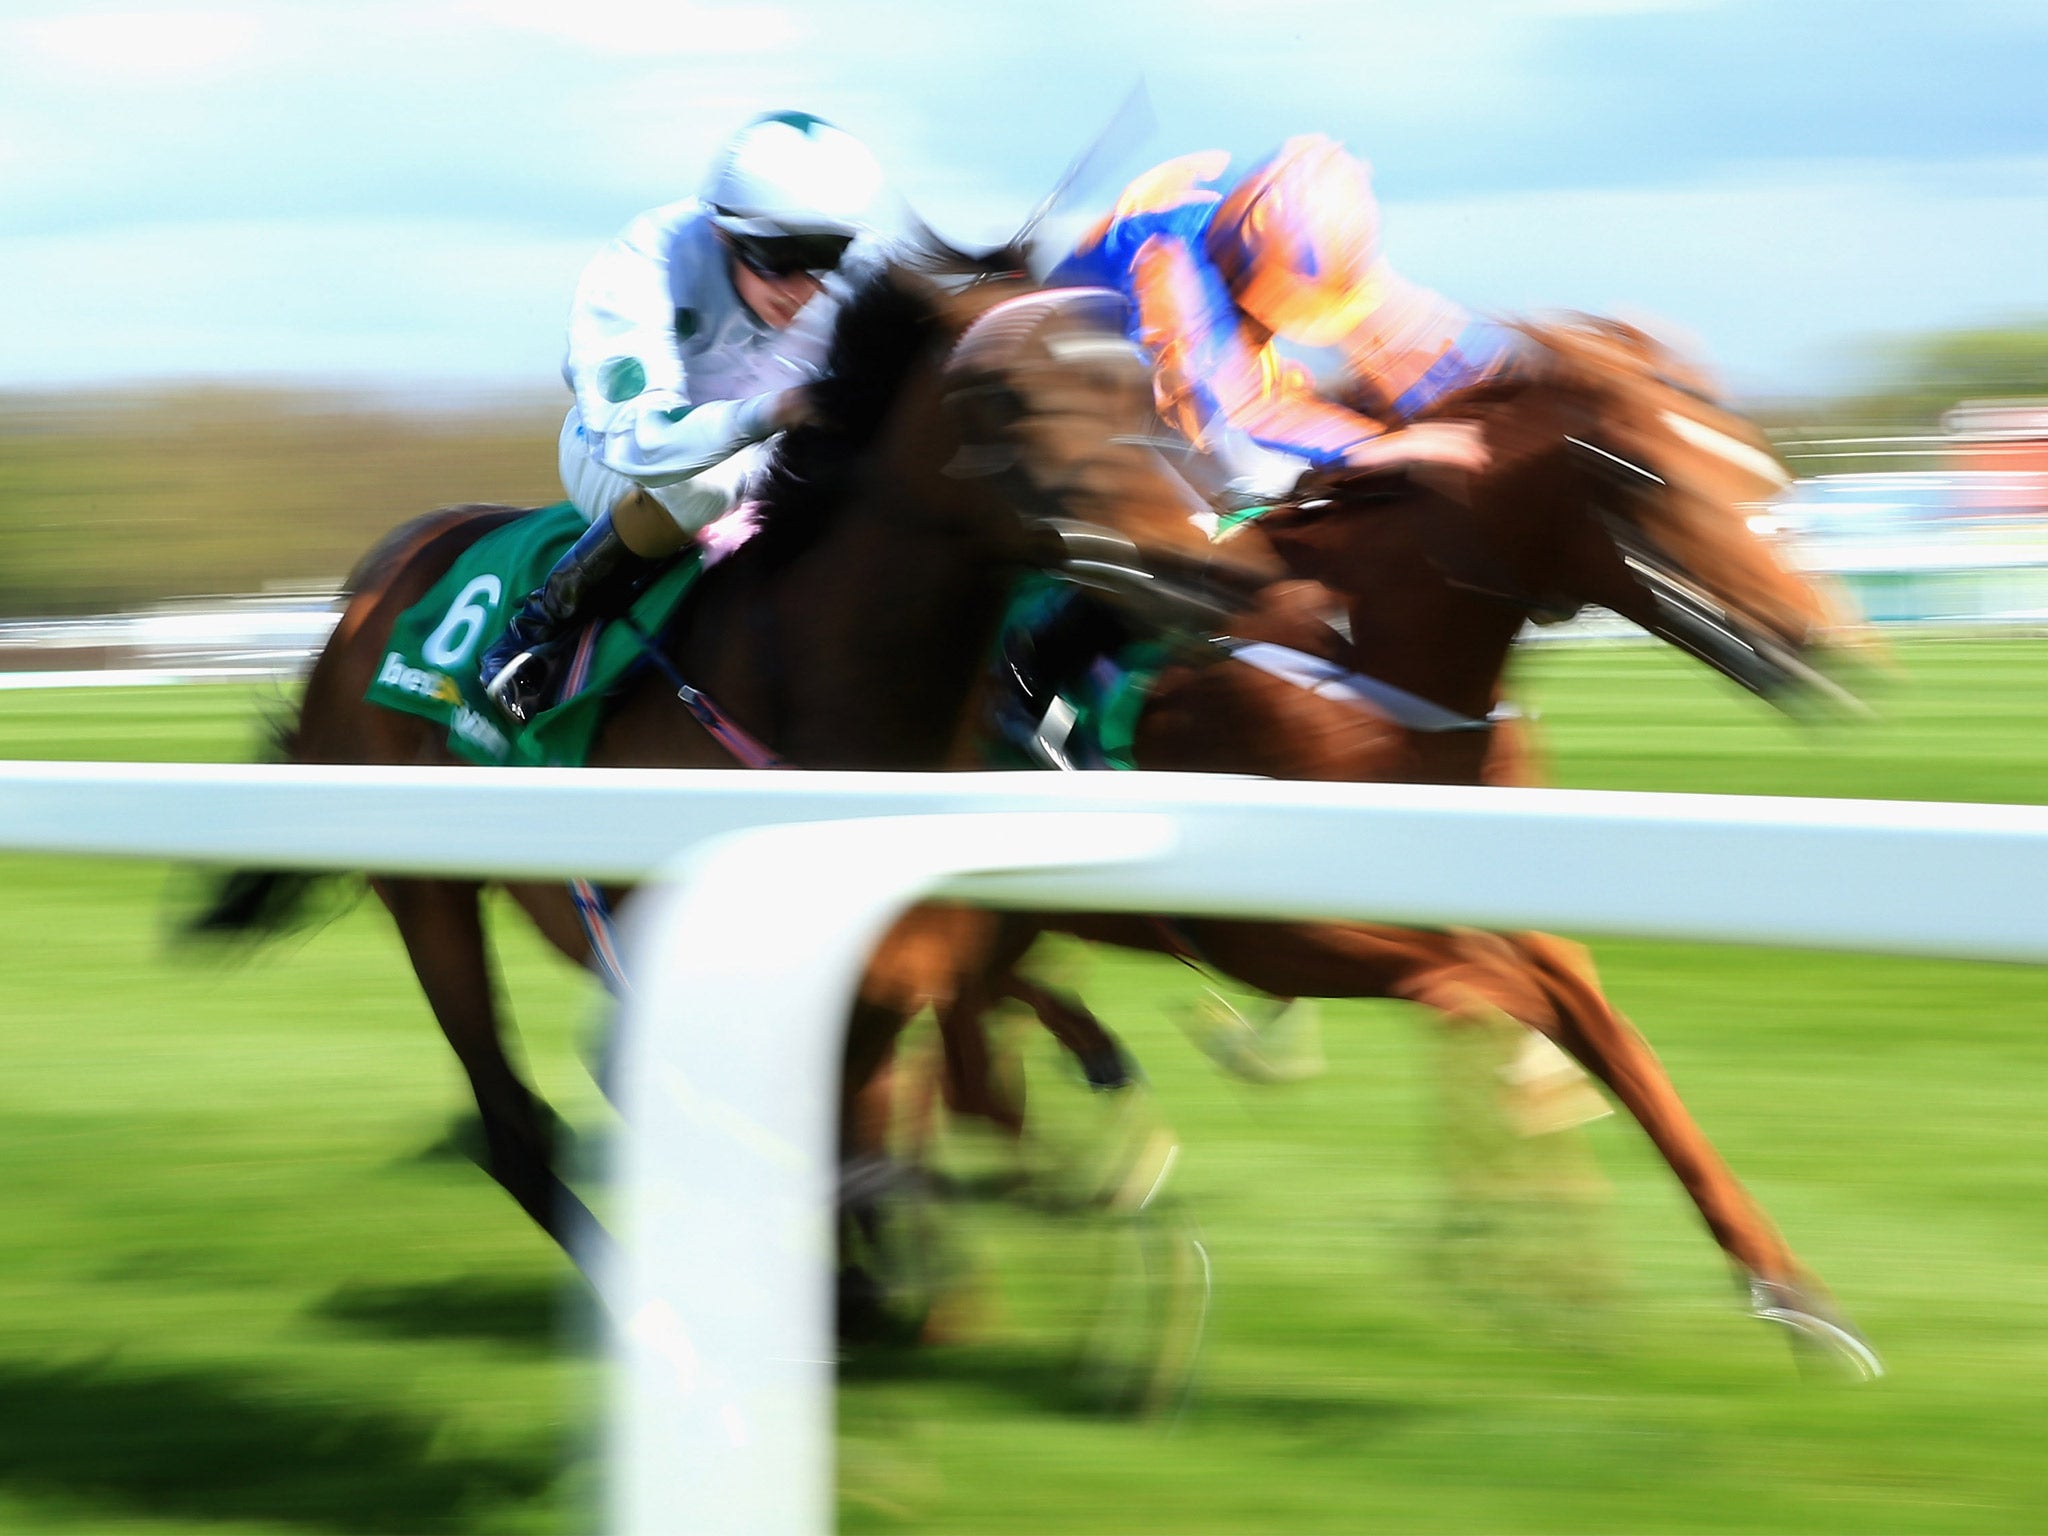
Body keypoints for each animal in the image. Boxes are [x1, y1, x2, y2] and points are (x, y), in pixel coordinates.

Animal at [195, 259, 1277, 1277]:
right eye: (1005, 395)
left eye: (1140, 383)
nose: (1212, 570)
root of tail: (378, 576)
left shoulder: (892, 971)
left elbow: (864, 1140)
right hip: (427, 895)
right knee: (513, 1125)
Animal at [913, 319, 1884, 1376]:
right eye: (1644, 474)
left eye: (1753, 455)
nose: (1830, 642)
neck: (1380, 658)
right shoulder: (1266, 935)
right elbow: (1489, 997)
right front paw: (1514, 1245)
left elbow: (1606, 1040)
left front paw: (1791, 1294)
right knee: (958, 1052)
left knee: (975, 1041)